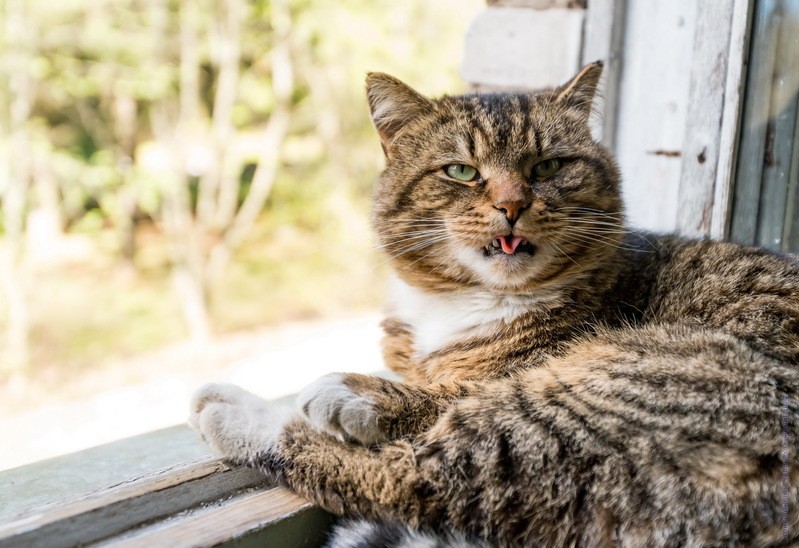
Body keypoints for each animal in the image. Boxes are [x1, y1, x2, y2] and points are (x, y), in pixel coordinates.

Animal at [189, 62, 799, 544]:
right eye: (461, 170)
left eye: (548, 166)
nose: (511, 205)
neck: (463, 301)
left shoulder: (525, 373)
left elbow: (442, 395)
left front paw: (358, 393)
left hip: (618, 382)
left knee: (415, 478)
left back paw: (239, 409)